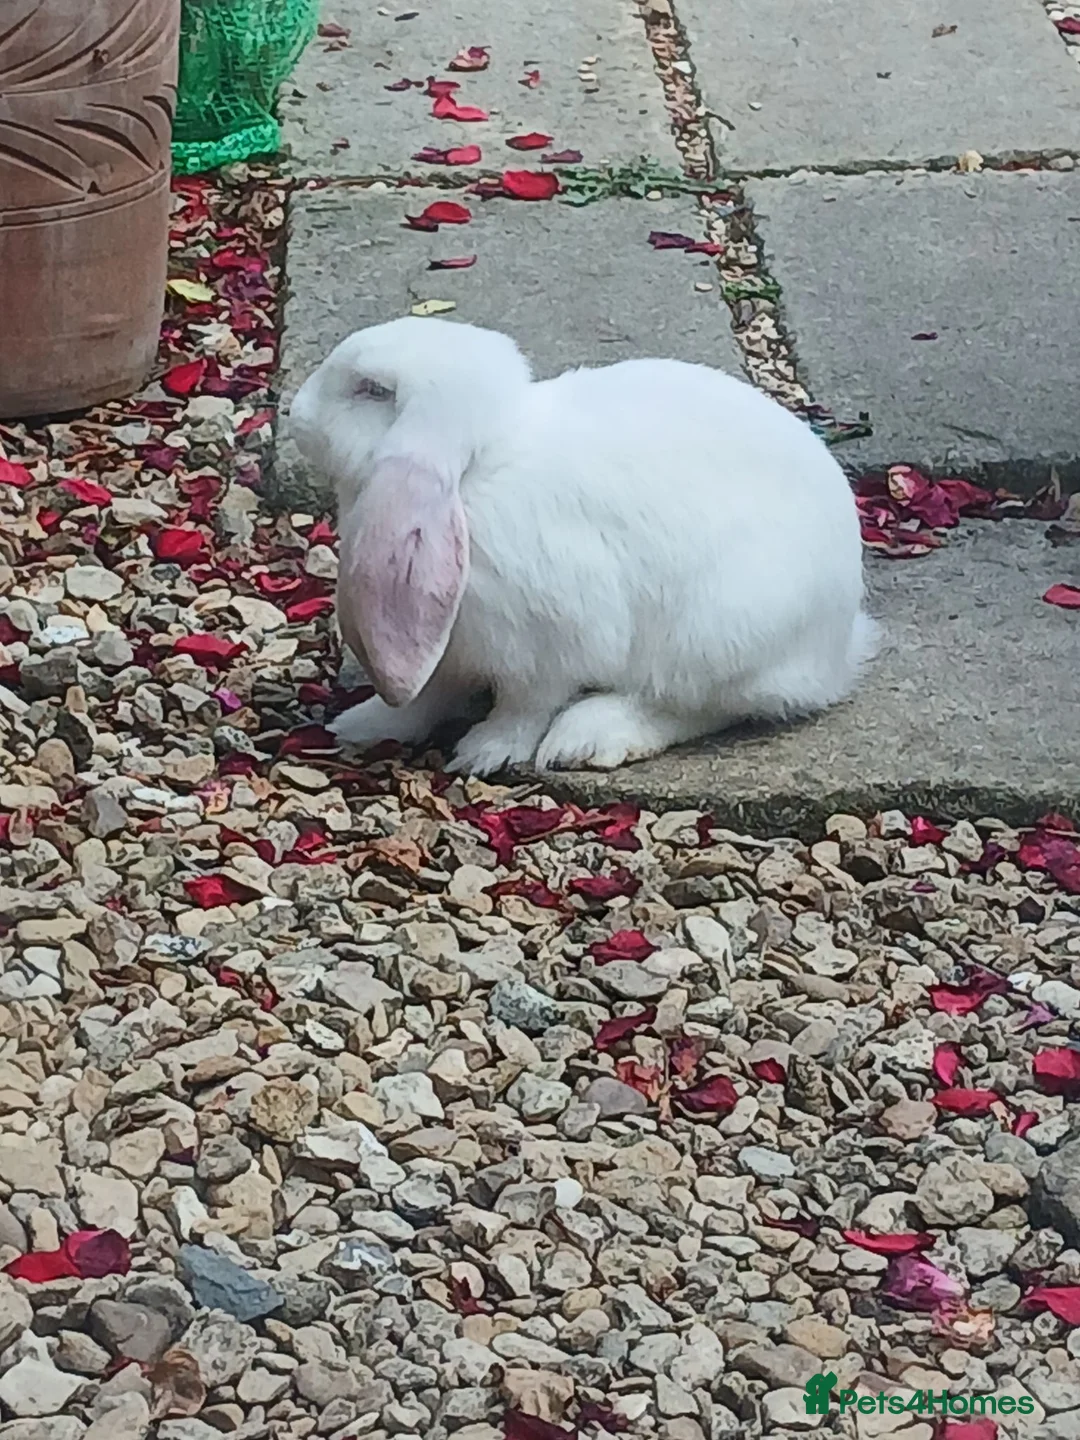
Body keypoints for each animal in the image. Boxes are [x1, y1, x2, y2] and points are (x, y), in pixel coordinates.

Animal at [287, 316, 877, 777]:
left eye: (372, 390)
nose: (295, 414)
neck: (478, 473)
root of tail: (838, 645)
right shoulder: (449, 650)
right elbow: (428, 697)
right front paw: (362, 724)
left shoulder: (551, 647)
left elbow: (525, 706)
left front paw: (485, 752)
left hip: (718, 636)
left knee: (698, 706)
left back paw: (589, 737)